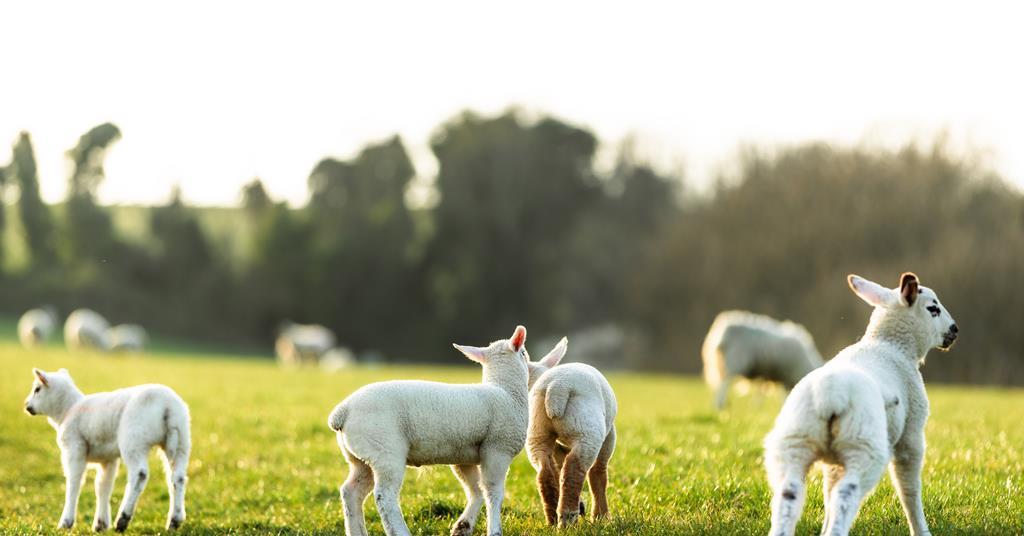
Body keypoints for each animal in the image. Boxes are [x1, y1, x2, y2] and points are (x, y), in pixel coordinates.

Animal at [23, 368, 192, 532]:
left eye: (37, 389)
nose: (26, 405)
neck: (67, 409)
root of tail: (167, 405)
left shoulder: (74, 447)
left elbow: (74, 482)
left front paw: (66, 523)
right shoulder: (108, 458)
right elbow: (103, 486)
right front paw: (101, 525)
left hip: (134, 439)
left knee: (140, 474)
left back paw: (123, 519)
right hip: (182, 440)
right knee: (177, 478)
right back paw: (175, 521)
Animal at [327, 325, 567, 536]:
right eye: (524, 353)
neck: (506, 391)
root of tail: (342, 412)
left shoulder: (465, 457)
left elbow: (476, 490)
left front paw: (463, 526)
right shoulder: (497, 449)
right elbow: (493, 492)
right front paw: (495, 530)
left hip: (362, 457)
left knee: (351, 492)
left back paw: (356, 531)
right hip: (385, 450)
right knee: (384, 496)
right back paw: (400, 531)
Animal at [525, 338, 618, 527]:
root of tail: (555, 387)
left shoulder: (557, 448)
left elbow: (557, 470)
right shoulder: (609, 436)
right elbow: (599, 474)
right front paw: (601, 517)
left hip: (537, 433)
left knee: (544, 471)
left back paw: (553, 518)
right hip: (587, 432)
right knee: (574, 469)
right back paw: (568, 519)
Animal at [763, 273, 958, 536]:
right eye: (933, 309)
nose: (954, 330)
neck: (891, 345)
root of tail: (830, 392)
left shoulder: (833, 463)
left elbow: (828, 493)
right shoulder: (911, 435)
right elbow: (909, 489)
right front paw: (921, 530)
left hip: (794, 442)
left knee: (790, 495)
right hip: (863, 447)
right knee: (846, 494)